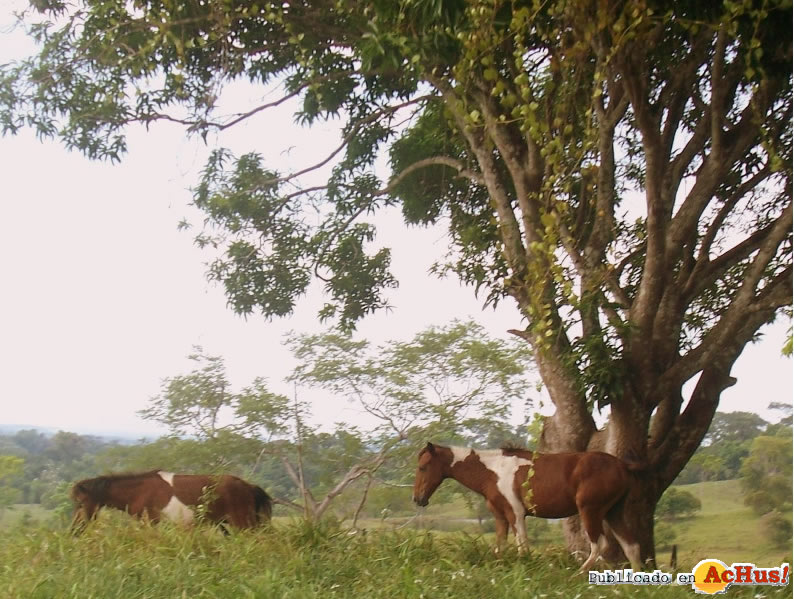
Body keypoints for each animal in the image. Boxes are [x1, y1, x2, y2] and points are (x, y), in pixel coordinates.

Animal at [72, 468, 276, 536]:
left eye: (80, 503)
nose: (74, 530)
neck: (139, 492)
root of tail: (248, 486)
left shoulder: (151, 523)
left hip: (243, 524)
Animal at [414, 442, 644, 576]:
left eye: (422, 467)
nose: (418, 499)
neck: (493, 471)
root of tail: (622, 465)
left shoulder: (514, 514)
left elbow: (522, 547)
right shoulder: (500, 517)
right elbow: (500, 548)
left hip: (590, 511)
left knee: (599, 544)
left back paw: (577, 574)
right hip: (613, 512)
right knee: (631, 546)